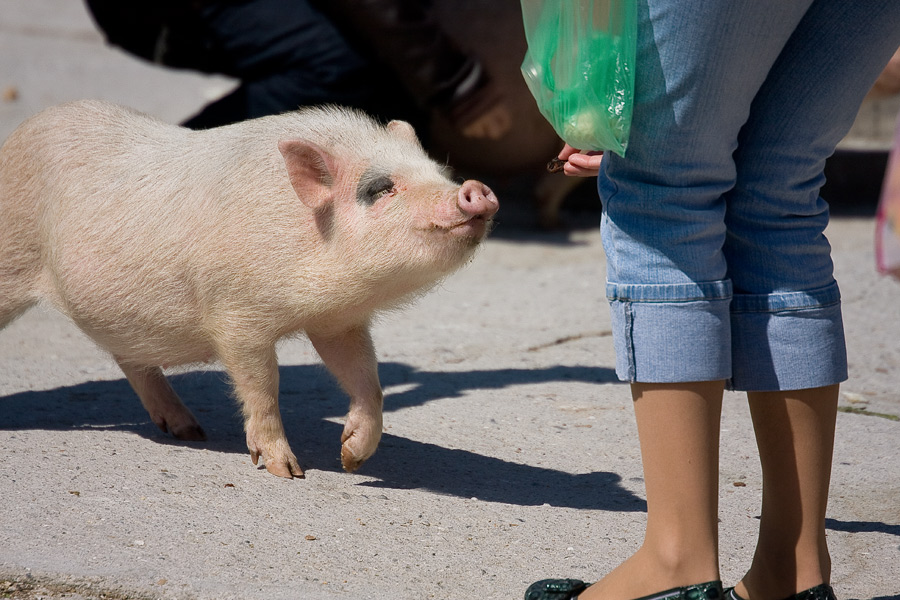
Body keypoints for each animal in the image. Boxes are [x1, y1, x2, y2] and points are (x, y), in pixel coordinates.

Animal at [0, 101, 500, 480]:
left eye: (440, 171)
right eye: (380, 188)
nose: (477, 188)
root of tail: (18, 134)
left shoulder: (337, 322)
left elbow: (367, 381)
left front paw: (351, 460)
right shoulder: (234, 312)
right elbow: (263, 385)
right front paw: (289, 472)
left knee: (131, 358)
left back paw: (189, 431)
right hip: (12, 256)